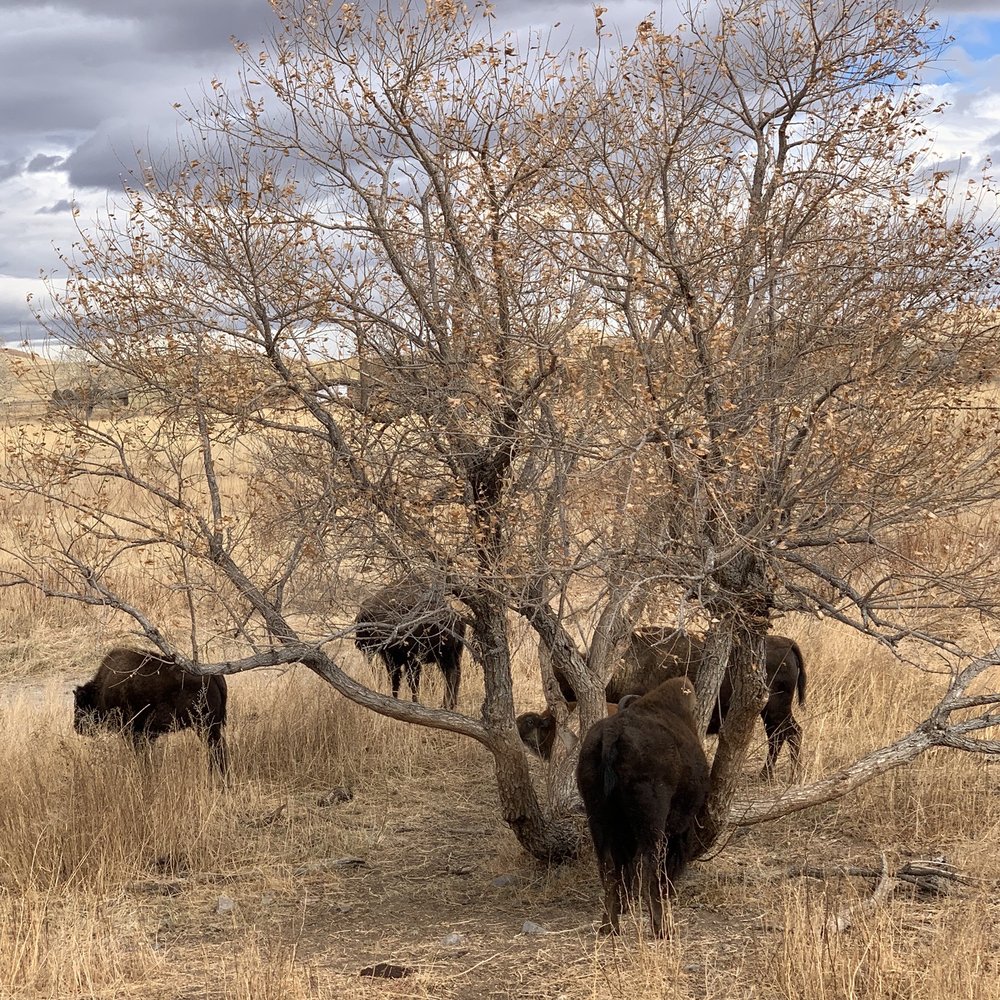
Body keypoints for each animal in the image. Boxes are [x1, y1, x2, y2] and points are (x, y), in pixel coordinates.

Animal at [73, 648, 228, 775]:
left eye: (80, 706)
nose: (76, 727)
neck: (102, 689)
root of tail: (214, 675)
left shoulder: (131, 732)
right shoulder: (148, 734)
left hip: (205, 726)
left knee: (216, 749)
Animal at [354, 578, 466, 710]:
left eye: (363, 627)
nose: (358, 643)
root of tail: (455, 618)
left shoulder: (409, 660)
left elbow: (411, 682)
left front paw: (414, 702)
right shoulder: (393, 660)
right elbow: (395, 680)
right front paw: (394, 698)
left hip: (444, 655)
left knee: (451, 674)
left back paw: (446, 704)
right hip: (453, 654)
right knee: (456, 674)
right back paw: (450, 704)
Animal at [576, 677, 710, 937]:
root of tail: (613, 734)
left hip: (598, 818)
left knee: (610, 869)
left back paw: (609, 926)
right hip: (652, 823)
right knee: (650, 869)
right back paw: (662, 928)